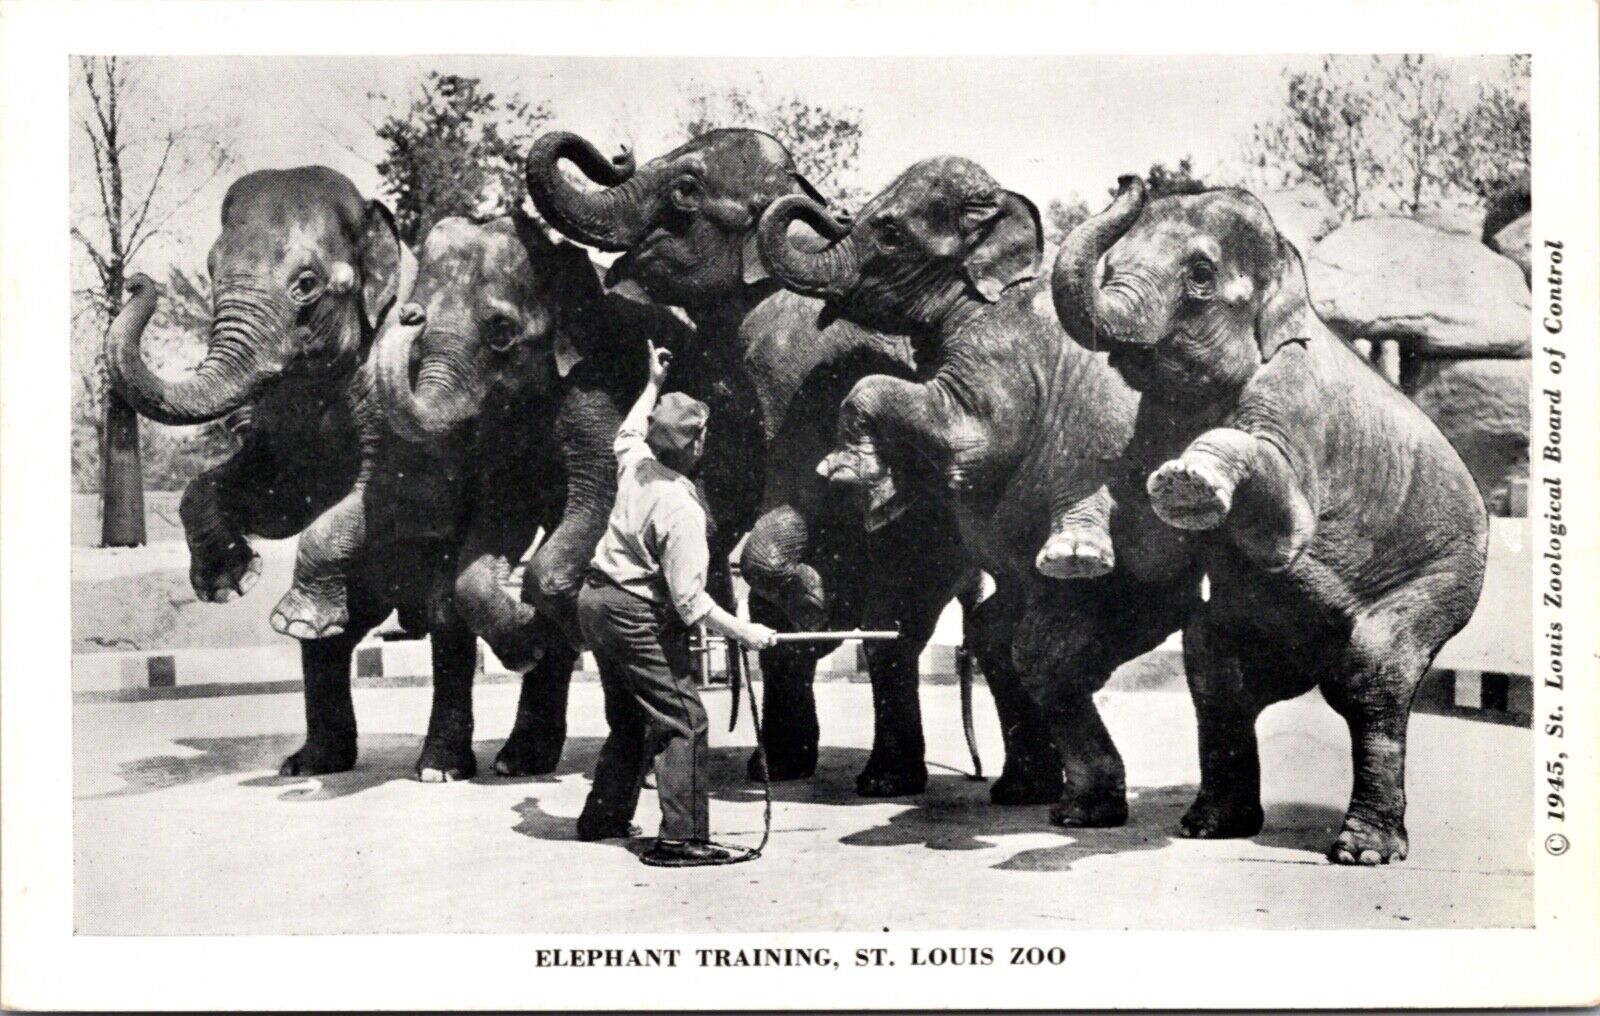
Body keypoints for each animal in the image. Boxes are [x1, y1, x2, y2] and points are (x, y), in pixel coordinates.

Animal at [524, 128, 972, 793]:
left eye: (685, 192)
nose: (620, 151)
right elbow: (717, 494)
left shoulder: (804, 368)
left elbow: (805, 483)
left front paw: (814, 601)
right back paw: (783, 766)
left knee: (898, 629)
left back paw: (887, 780)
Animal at [758, 159, 1203, 825]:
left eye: (889, 232)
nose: (1130, 179)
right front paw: (878, 493)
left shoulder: (1001, 361)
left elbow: (963, 436)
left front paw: (847, 474)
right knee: (1002, 635)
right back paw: (1027, 793)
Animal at [1056, 179, 1491, 864]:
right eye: (1113, 260)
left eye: (1200, 274)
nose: (1130, 181)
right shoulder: (1152, 415)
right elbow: (1148, 542)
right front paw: (1074, 554)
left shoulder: (1297, 402)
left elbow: (1285, 534)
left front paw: (1188, 481)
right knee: (1213, 669)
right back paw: (1211, 826)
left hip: (1445, 580)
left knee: (1375, 675)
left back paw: (1362, 853)